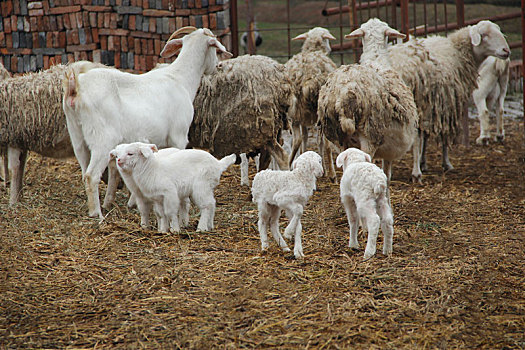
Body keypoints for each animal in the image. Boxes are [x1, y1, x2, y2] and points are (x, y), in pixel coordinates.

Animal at [0, 61, 107, 204]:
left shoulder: (14, 139)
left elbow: (15, 168)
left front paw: (13, 201)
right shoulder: (21, 140)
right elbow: (21, 168)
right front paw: (19, 196)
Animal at [286, 26, 336, 166]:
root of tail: (308, 78)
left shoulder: (303, 115)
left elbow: (305, 136)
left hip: (295, 110)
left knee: (298, 139)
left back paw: (289, 163)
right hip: (316, 111)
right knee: (321, 141)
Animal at [318, 18, 420, 183]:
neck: (377, 59)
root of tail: (345, 94)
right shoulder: (390, 147)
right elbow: (387, 169)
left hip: (338, 138)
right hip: (370, 135)